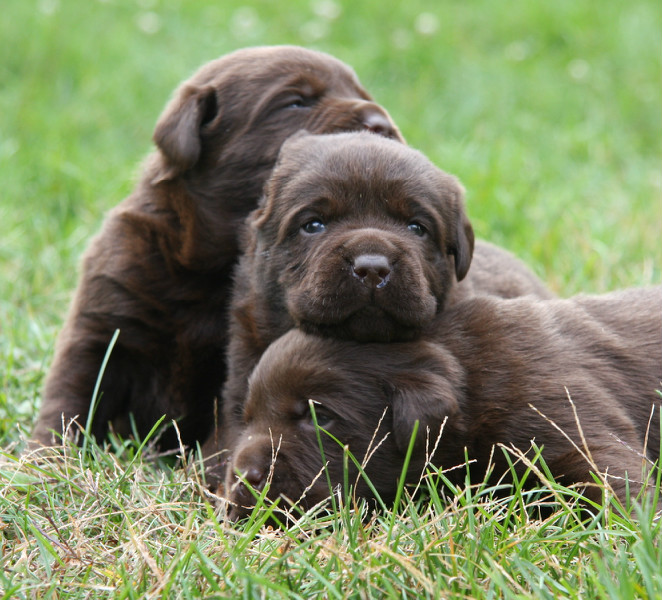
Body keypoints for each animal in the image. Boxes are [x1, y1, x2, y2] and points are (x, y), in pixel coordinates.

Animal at [31, 45, 402, 450]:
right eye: (295, 102)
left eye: (363, 93)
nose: (381, 124)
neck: (207, 265)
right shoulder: (104, 319)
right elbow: (72, 395)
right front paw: (43, 457)